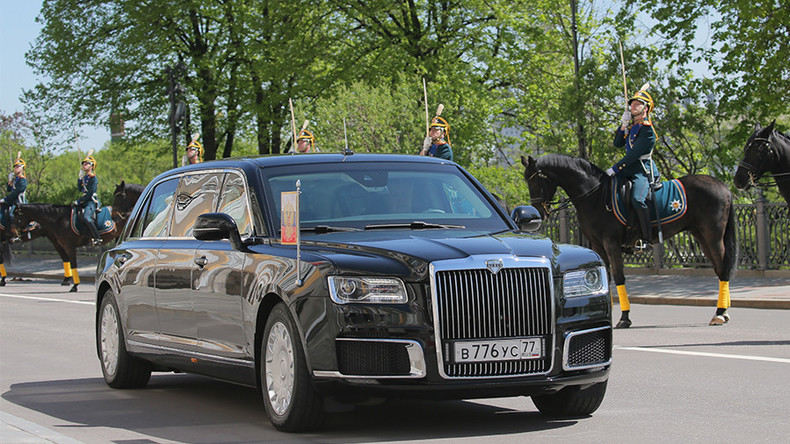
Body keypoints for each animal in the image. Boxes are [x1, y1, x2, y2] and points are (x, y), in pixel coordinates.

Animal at [524, 154, 740, 328]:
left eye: (535, 182)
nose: (538, 213)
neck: (595, 196)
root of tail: (723, 186)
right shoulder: (598, 246)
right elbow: (606, 278)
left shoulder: (610, 243)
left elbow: (619, 277)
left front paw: (624, 318)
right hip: (701, 236)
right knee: (719, 268)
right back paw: (724, 310)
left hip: (713, 235)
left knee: (723, 268)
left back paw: (720, 313)